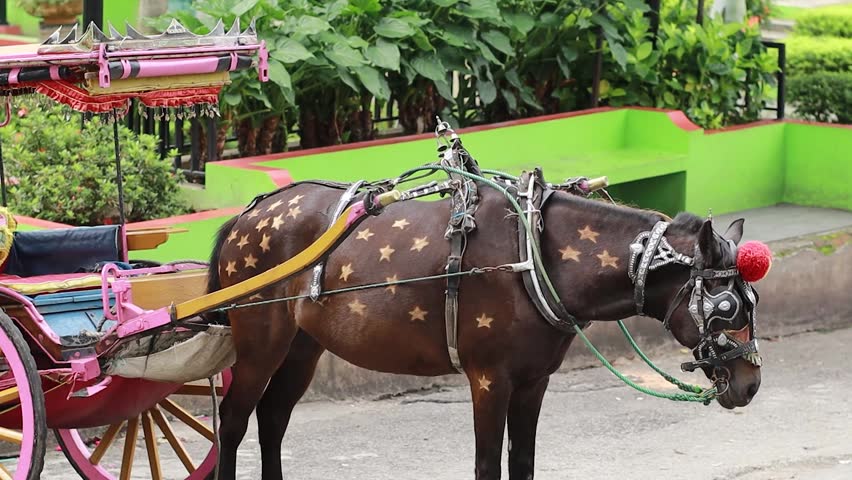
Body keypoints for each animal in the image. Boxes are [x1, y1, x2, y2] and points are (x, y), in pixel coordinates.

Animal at [205, 174, 763, 480]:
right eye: (726, 306)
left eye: (754, 299)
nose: (752, 383)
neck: (537, 254)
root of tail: (248, 215)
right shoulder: (490, 380)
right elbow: (487, 465)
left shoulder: (534, 383)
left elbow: (523, 463)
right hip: (259, 339)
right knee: (232, 422)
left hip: (303, 345)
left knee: (272, 419)